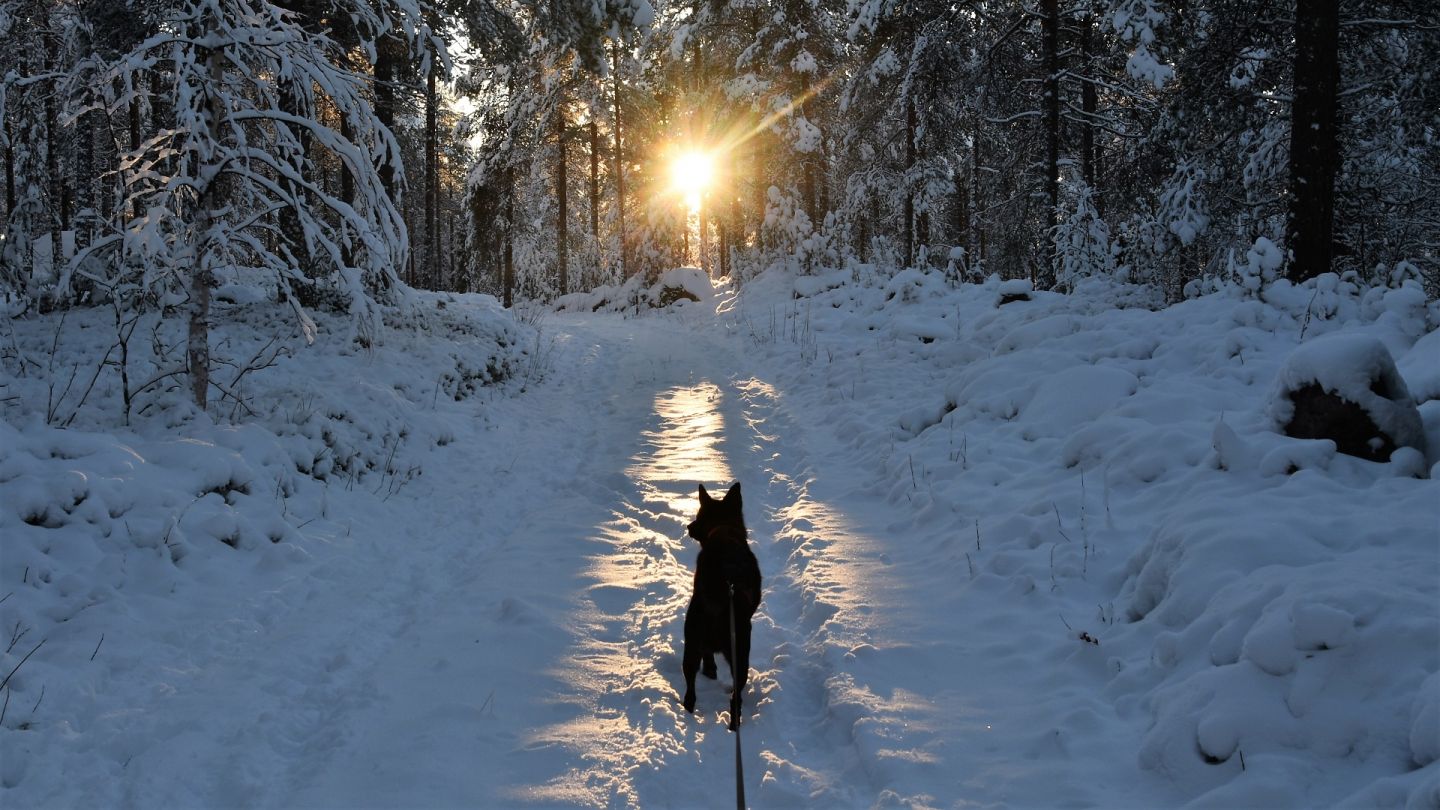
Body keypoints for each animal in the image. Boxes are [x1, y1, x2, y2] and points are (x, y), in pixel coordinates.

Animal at [679, 481, 760, 729]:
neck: (723, 530)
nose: (688, 526)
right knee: (733, 697)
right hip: (739, 651)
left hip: (693, 644)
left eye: (697, 516)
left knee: (692, 694)